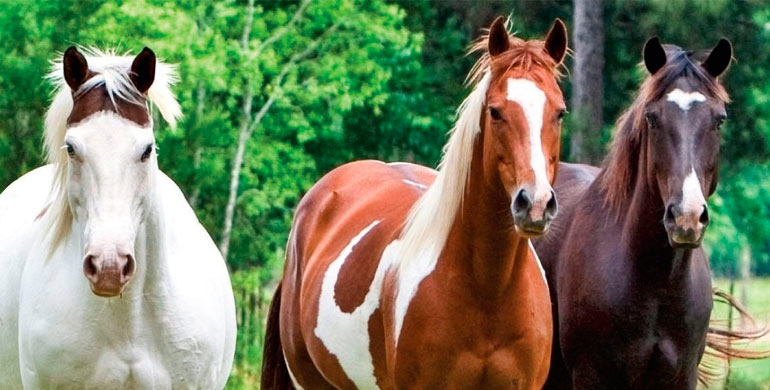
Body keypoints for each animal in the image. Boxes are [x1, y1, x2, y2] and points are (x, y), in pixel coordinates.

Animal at [536, 37, 732, 390]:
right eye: (652, 118)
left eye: (719, 119)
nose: (686, 217)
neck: (655, 280)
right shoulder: (591, 375)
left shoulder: (681, 377)